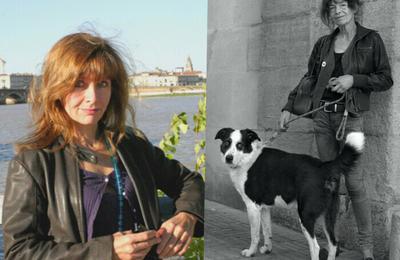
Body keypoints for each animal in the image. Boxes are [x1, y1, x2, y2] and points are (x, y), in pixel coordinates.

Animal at [216, 128, 366, 260]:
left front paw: (250, 252)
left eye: (240, 145)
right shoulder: (264, 208)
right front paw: (267, 249)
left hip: (305, 215)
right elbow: (267, 231)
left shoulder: (252, 206)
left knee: (315, 248)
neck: (248, 157)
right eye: (226, 143)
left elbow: (255, 235)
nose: (228, 158)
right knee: (333, 245)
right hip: (328, 216)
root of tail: (324, 167)